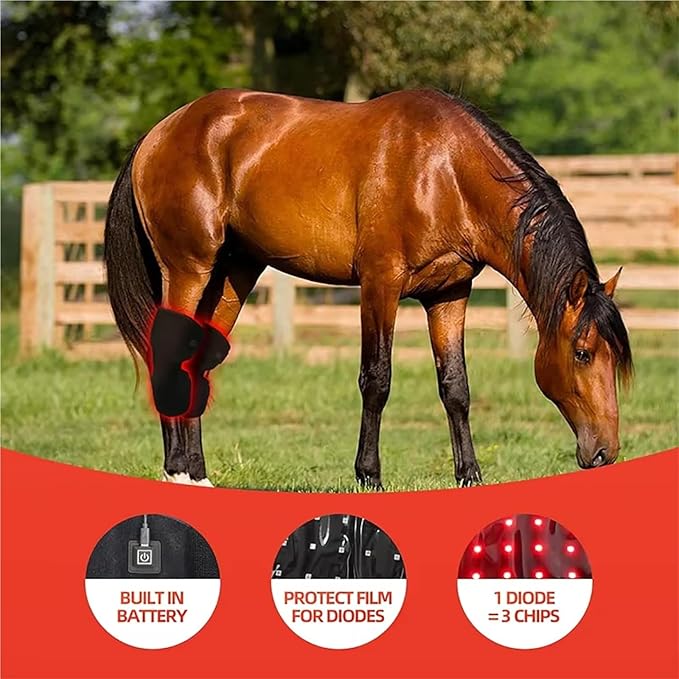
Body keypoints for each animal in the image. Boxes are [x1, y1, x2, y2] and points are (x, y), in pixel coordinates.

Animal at [104, 88, 633, 489]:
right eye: (583, 353)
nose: (604, 452)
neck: (445, 171)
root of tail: (158, 133)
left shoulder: (449, 295)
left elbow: (455, 386)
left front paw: (469, 475)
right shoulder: (380, 284)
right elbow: (376, 380)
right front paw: (368, 475)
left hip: (234, 273)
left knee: (196, 360)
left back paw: (198, 474)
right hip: (189, 270)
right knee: (169, 352)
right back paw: (176, 471)